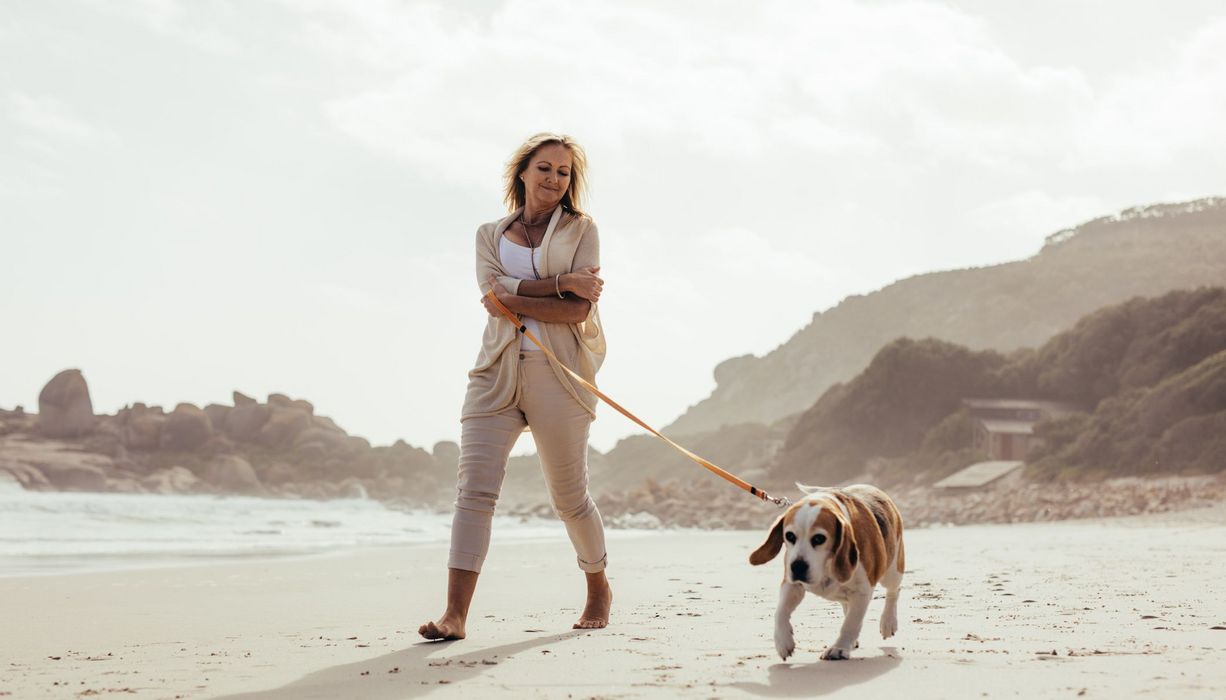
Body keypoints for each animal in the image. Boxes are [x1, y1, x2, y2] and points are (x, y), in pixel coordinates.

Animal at [745, 485, 912, 661]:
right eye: (789, 536)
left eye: (819, 538)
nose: (797, 567)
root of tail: (872, 488)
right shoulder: (792, 585)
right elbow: (780, 612)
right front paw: (783, 641)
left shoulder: (862, 591)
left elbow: (851, 623)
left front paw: (839, 648)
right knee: (847, 605)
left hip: (892, 572)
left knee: (893, 591)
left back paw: (888, 622)